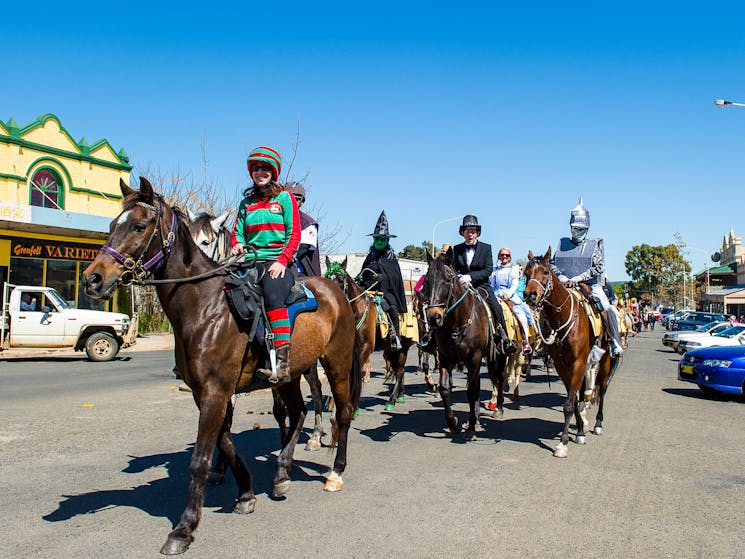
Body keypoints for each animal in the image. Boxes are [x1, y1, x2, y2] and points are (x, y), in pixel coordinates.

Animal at [81, 178, 360, 556]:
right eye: (112, 225)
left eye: (139, 226)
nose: (92, 279)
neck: (206, 307)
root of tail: (338, 293)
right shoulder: (208, 392)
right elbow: (224, 442)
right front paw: (245, 492)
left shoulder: (215, 391)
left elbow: (199, 458)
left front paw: (183, 529)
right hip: (289, 374)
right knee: (299, 411)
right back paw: (281, 472)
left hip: (337, 362)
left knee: (340, 413)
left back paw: (335, 472)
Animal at [422, 249, 508, 434]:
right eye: (426, 281)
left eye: (448, 280)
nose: (433, 317)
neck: (457, 322)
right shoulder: (445, 358)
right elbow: (445, 389)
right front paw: (453, 422)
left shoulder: (474, 358)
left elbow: (471, 390)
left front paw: (472, 421)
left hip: (498, 356)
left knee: (498, 377)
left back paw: (498, 408)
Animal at [520, 249, 620, 460]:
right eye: (526, 272)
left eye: (545, 272)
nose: (530, 295)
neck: (562, 316)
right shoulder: (562, 364)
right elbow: (572, 400)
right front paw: (579, 431)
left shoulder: (577, 362)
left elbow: (570, 402)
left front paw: (563, 443)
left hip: (605, 361)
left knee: (602, 390)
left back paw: (598, 423)